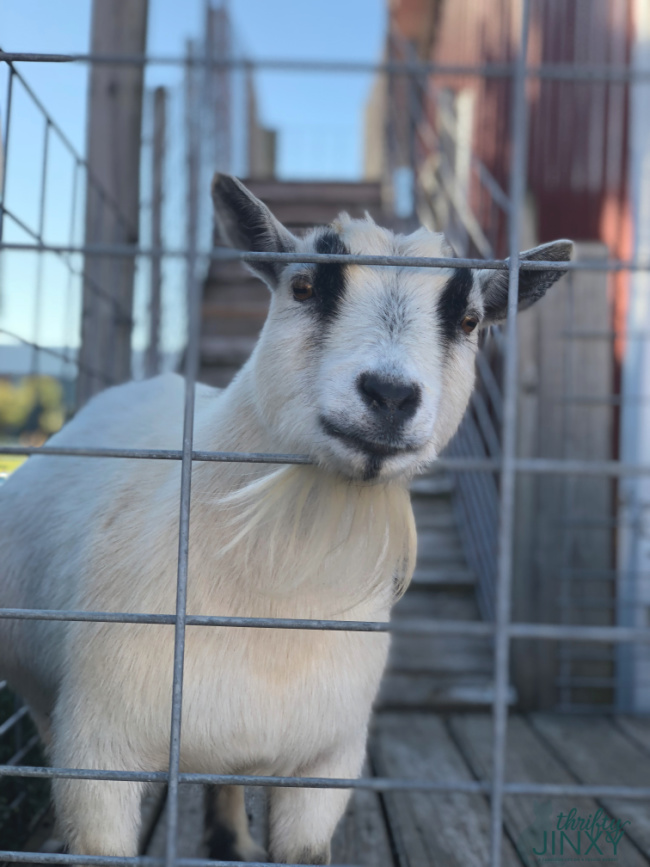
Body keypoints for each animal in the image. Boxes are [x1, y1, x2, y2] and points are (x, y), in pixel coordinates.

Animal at [0, 173, 568, 864]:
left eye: (468, 320)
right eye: (302, 287)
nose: (390, 395)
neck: (273, 598)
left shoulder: (326, 767)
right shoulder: (98, 755)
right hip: (43, 695)